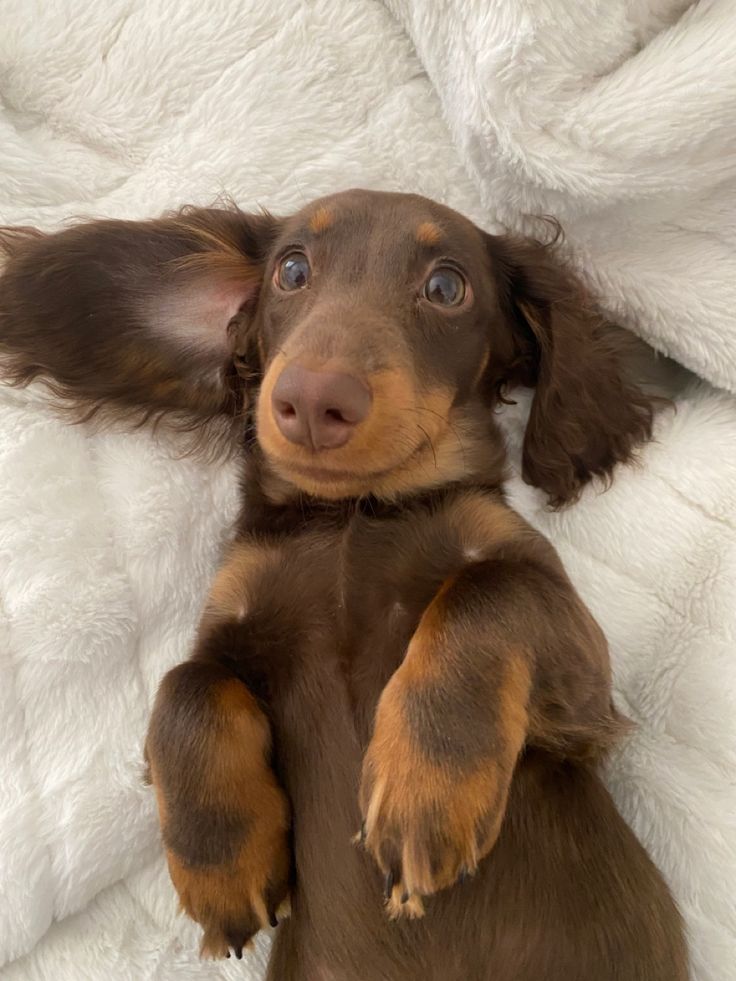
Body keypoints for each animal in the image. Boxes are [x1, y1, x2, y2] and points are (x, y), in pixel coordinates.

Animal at [1, 191, 688, 980]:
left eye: (446, 287)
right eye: (292, 270)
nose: (311, 400)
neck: (355, 511)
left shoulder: (582, 696)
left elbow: (483, 591)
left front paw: (426, 793)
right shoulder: (231, 613)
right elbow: (185, 687)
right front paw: (220, 867)